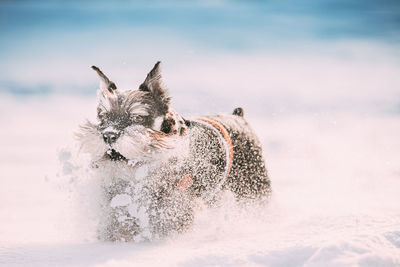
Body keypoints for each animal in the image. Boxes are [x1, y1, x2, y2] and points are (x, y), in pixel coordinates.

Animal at [76, 62, 272, 243]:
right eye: (102, 117)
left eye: (137, 117)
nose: (109, 135)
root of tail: (238, 116)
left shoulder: (175, 205)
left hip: (253, 189)